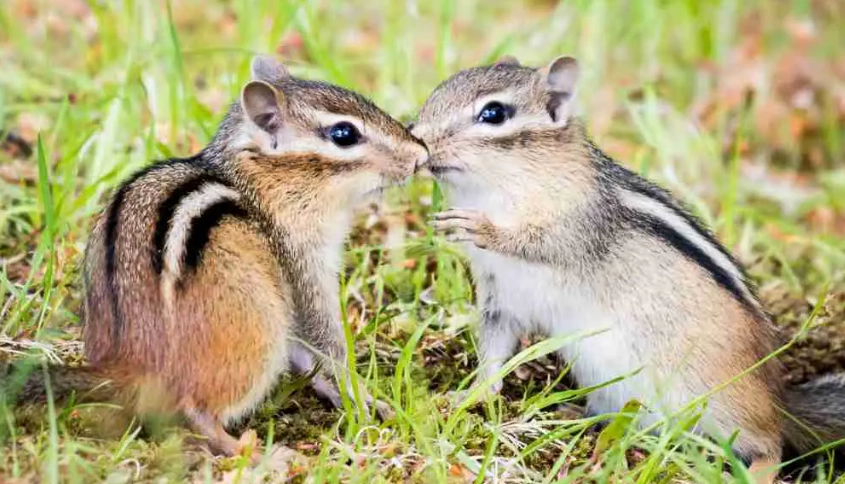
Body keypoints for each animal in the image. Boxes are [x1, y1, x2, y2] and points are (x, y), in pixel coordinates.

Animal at [9, 56, 427, 459]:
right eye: (344, 134)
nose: (420, 154)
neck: (259, 180)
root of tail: (129, 366)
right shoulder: (302, 267)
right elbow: (324, 344)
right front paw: (365, 398)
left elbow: (306, 355)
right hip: (258, 333)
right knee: (200, 412)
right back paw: (255, 456)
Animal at [410, 55, 845, 482]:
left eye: (494, 113)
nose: (416, 137)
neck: (498, 187)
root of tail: (779, 398)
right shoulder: (499, 296)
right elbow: (494, 355)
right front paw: (467, 396)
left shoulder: (574, 225)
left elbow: (534, 241)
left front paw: (478, 226)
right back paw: (572, 415)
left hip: (716, 399)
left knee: (770, 443)